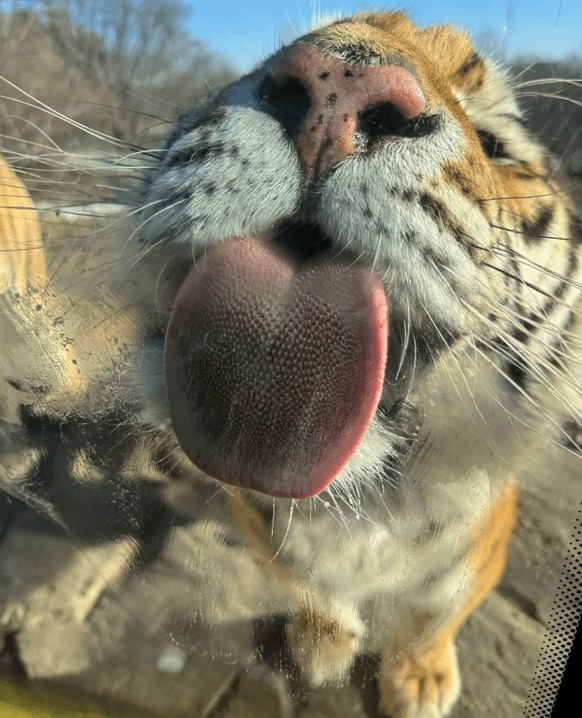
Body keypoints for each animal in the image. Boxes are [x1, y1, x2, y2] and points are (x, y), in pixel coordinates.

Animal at [1, 10, 581, 718]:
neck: (363, 503)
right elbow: (308, 584)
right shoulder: (257, 520)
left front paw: (418, 679)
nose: (341, 86)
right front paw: (323, 644)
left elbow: (435, 612)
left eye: (497, 144)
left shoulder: (481, 541)